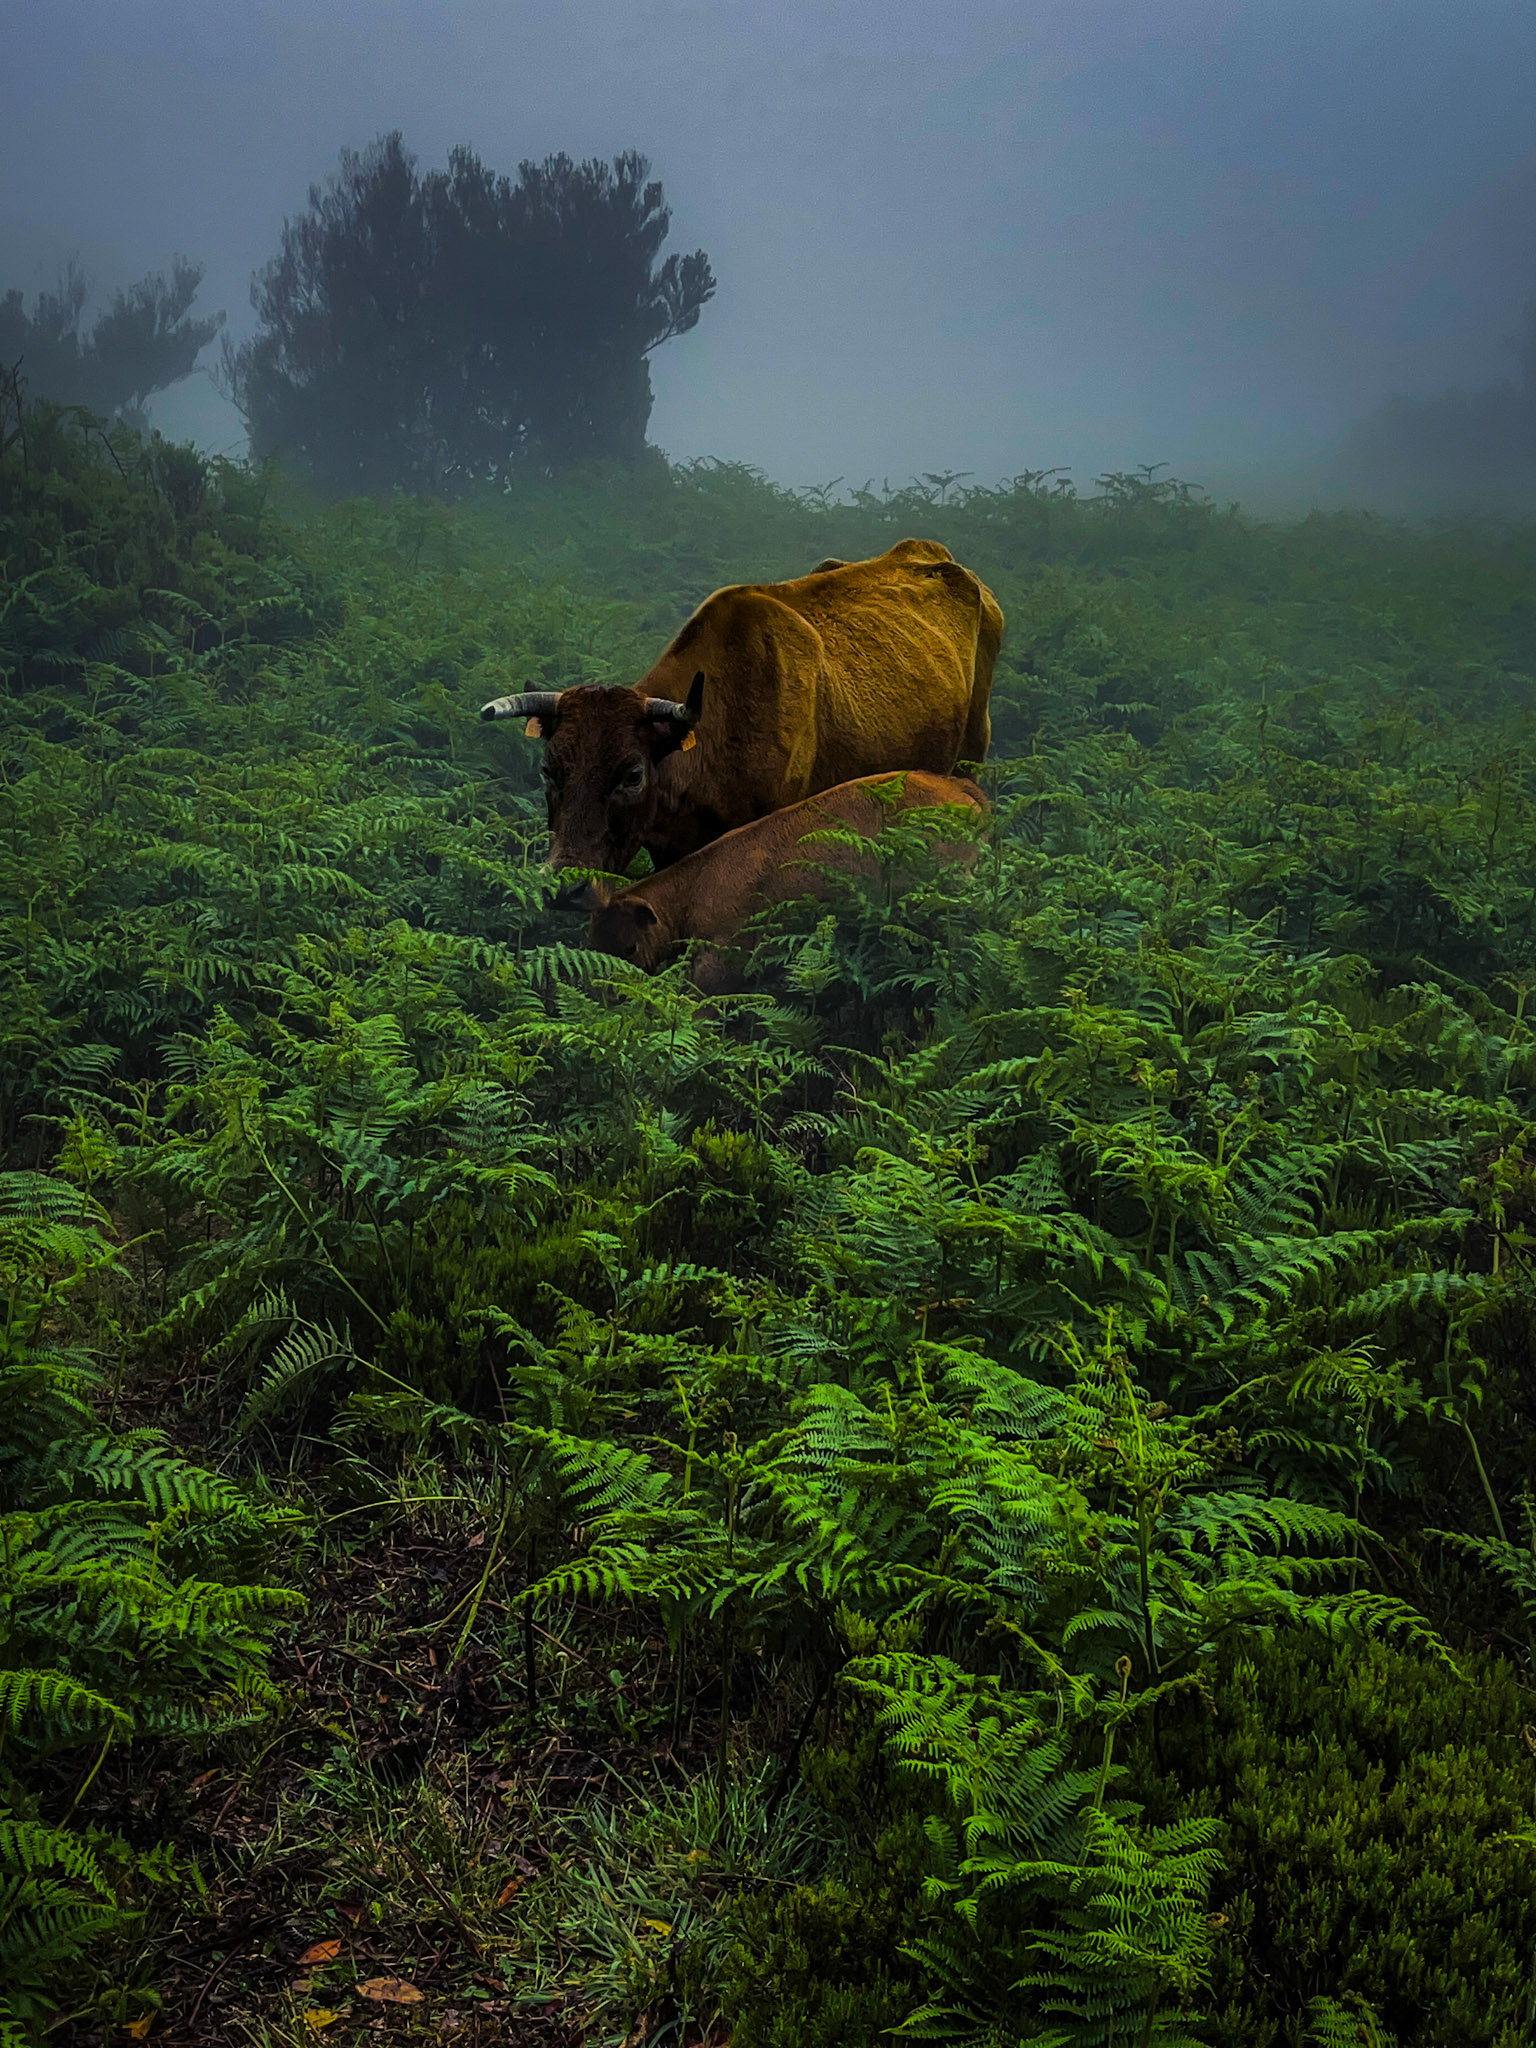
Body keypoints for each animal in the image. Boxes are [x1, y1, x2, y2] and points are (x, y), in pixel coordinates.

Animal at [577, 769, 989, 992]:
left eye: (630, 948)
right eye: (593, 948)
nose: (612, 996)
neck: (696, 883)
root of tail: (954, 785)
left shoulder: (723, 958)